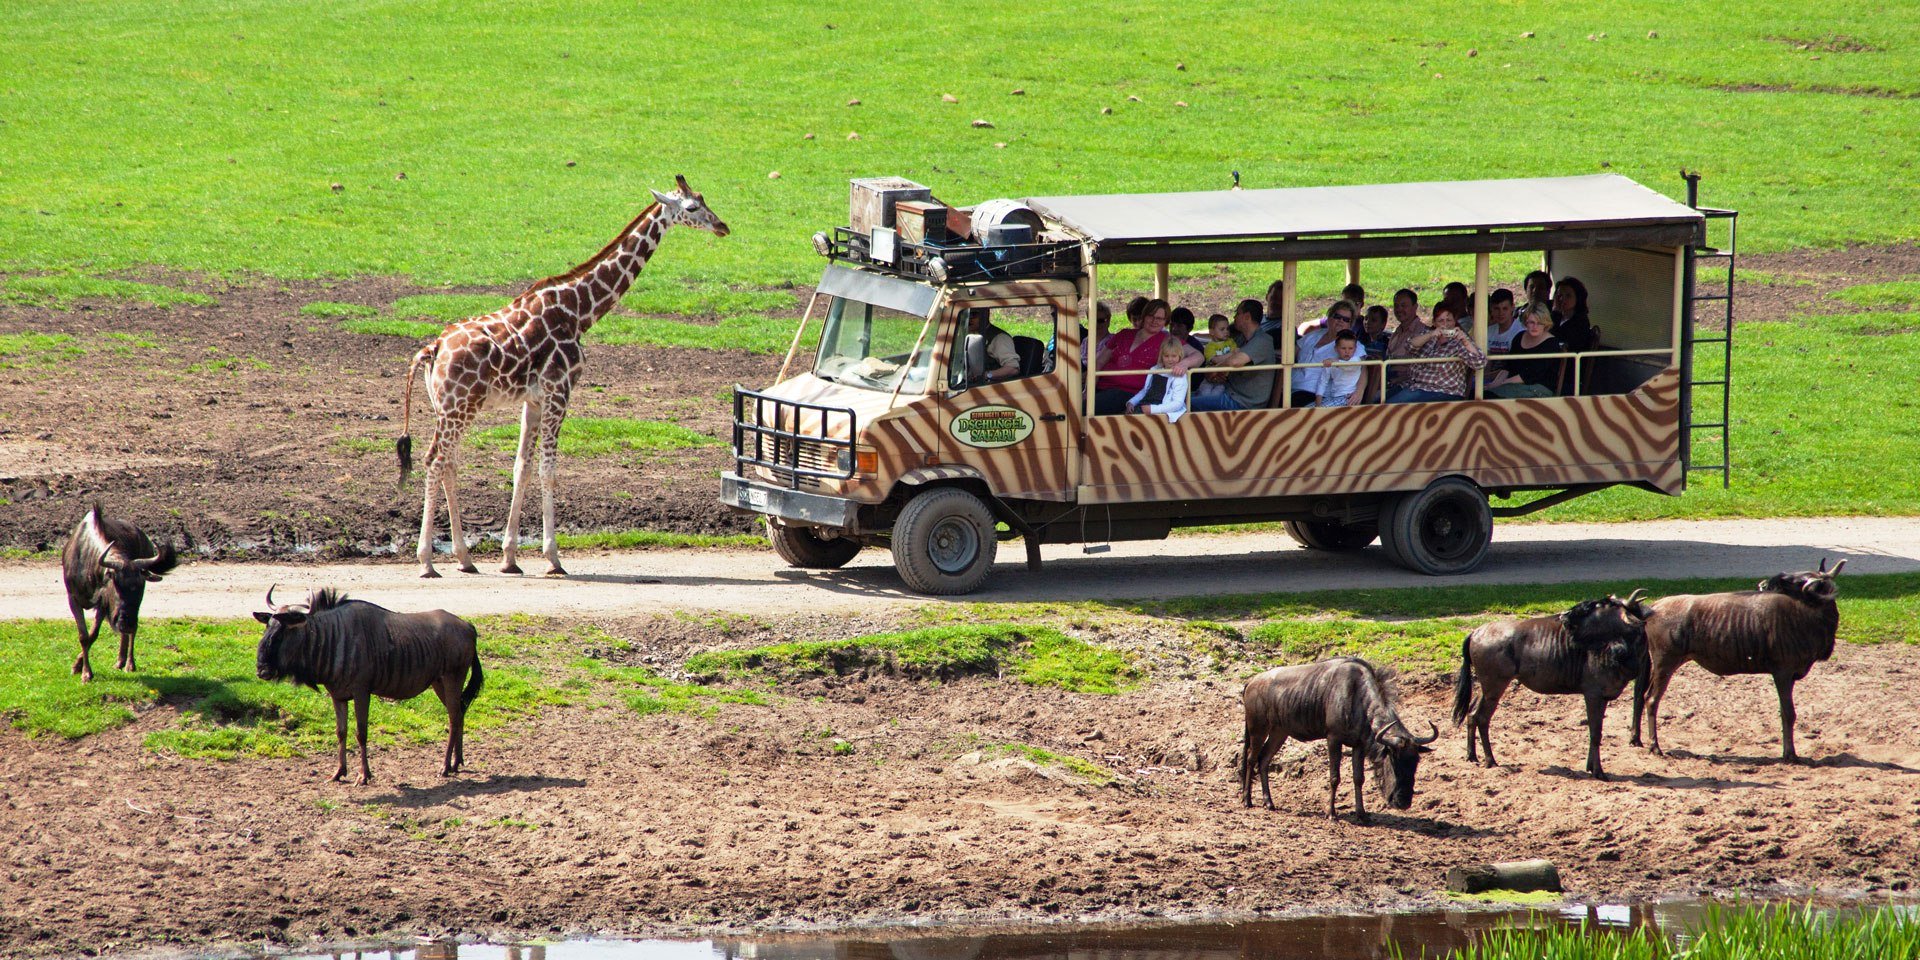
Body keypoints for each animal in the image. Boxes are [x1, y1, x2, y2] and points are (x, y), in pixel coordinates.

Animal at [397, 174, 725, 576]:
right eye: (692, 207)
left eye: (705, 201)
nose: (722, 226)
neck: (580, 310)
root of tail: (434, 349)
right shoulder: (560, 390)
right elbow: (548, 470)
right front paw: (553, 556)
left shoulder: (534, 399)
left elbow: (521, 467)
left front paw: (510, 558)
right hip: (460, 406)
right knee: (434, 461)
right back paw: (427, 560)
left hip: (450, 408)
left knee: (449, 464)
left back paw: (464, 558)